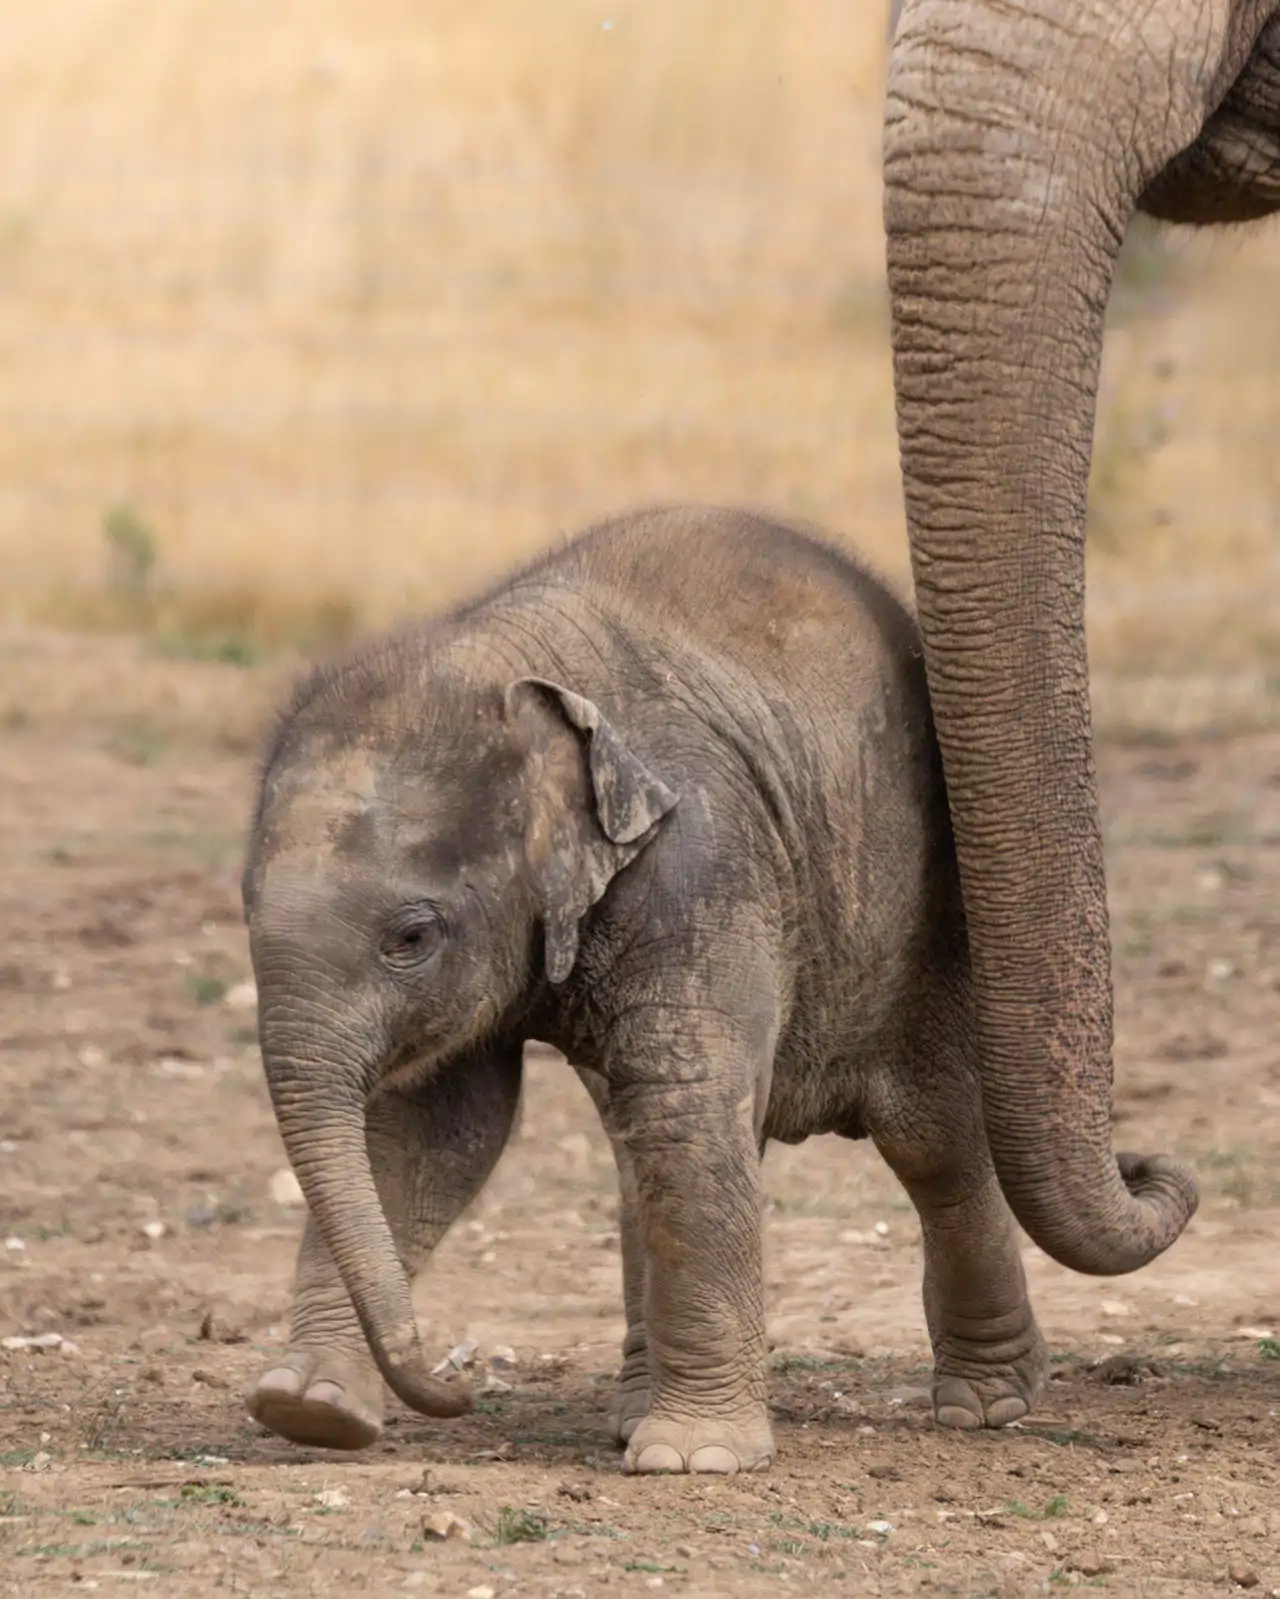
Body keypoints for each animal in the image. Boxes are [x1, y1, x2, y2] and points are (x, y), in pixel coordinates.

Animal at [239, 505, 1188, 1475]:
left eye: (412, 936)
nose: (457, 1387)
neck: (506, 663)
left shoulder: (702, 855)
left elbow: (678, 1098)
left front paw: (692, 1462)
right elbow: (431, 1126)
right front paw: (309, 1411)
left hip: (922, 917)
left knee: (925, 1135)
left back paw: (985, 1406)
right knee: (645, 1140)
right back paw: (634, 1409)